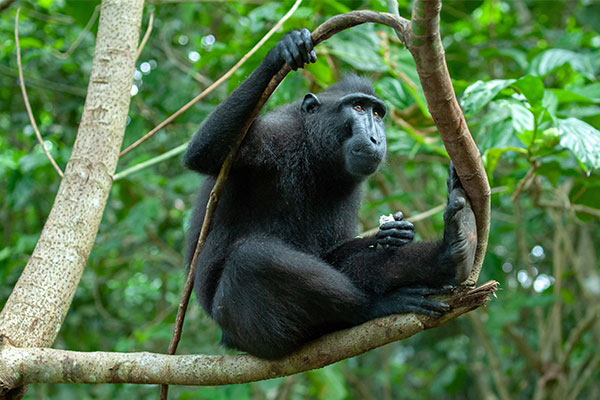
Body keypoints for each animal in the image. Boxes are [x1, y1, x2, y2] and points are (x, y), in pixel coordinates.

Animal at [185, 28, 476, 360]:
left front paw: (396, 233)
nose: (376, 138)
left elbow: (334, 250)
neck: (315, 155)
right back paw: (378, 304)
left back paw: (452, 250)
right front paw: (282, 49)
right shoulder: (275, 134)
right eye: (358, 108)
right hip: (245, 325)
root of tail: (227, 338)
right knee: (254, 257)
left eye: (378, 113)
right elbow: (204, 154)